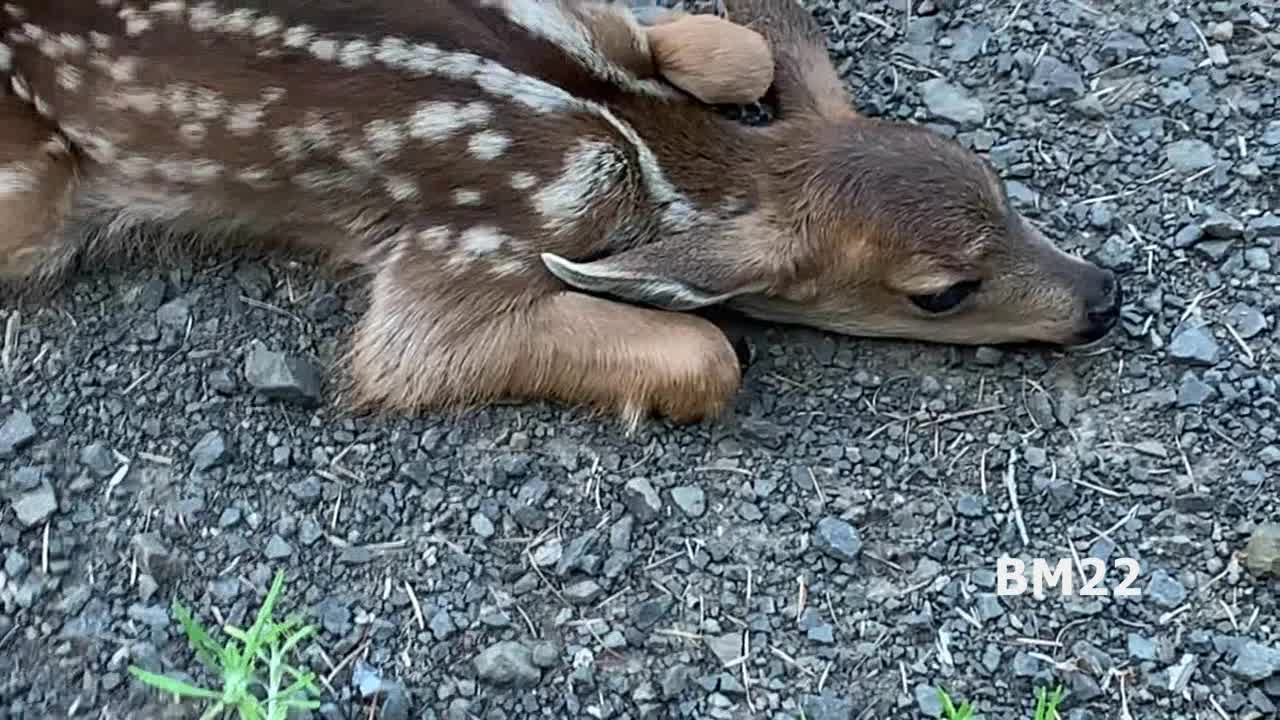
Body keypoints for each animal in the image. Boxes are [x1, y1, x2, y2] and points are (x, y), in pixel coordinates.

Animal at [0, 0, 1121, 422]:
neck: (639, 138)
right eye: (942, 292)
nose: (1104, 297)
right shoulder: (464, 245)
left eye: (997, 185)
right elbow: (707, 356)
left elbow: (741, 49)